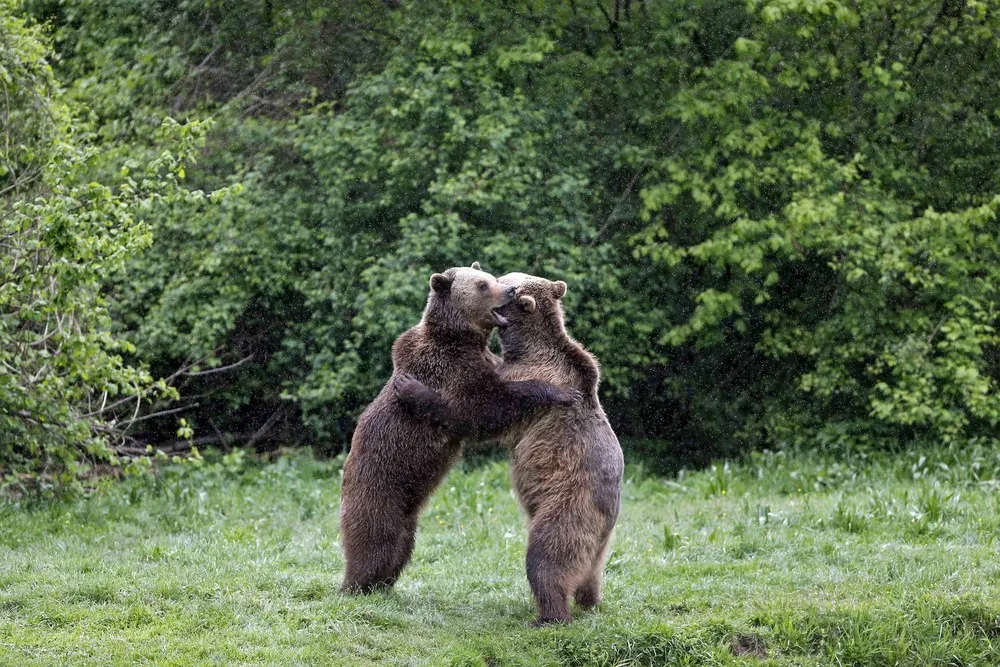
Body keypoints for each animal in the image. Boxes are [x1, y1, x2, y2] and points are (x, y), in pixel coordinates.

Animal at [340, 264, 580, 592]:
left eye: (491, 278)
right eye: (483, 285)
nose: (510, 291)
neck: (460, 339)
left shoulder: (483, 361)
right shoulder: (448, 370)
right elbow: (481, 409)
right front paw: (559, 391)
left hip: (408, 513)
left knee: (400, 547)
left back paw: (383, 584)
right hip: (379, 488)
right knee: (374, 540)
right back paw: (356, 585)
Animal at [392, 272, 620, 628]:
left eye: (505, 282)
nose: (507, 287)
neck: (525, 346)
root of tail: (607, 516)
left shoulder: (522, 376)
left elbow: (479, 412)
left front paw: (415, 389)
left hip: (567, 507)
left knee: (546, 558)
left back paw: (549, 616)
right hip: (602, 548)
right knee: (592, 576)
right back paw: (591, 601)